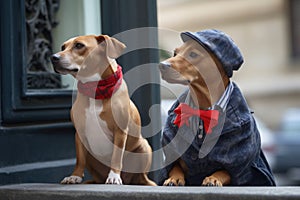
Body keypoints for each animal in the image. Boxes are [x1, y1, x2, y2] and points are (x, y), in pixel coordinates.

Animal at [50, 34, 156, 186]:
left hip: (144, 148)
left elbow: (116, 157)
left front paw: (114, 176)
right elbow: (79, 159)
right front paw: (75, 176)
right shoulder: (79, 133)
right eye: (63, 47)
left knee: (142, 177)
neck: (95, 88)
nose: (53, 57)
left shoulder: (120, 131)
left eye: (79, 45)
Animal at [158, 29, 276, 186]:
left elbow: (224, 171)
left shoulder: (238, 164)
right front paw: (174, 178)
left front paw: (213, 178)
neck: (203, 107)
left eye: (193, 54)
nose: (162, 65)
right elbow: (175, 167)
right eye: (175, 53)